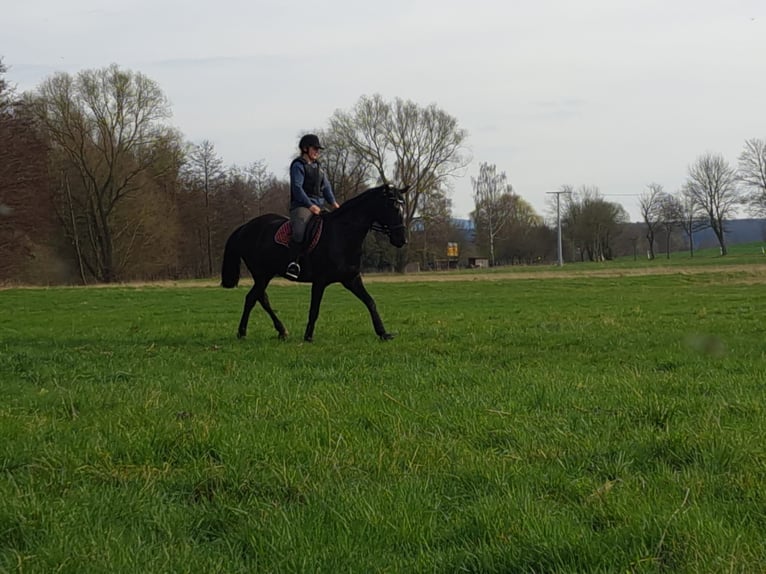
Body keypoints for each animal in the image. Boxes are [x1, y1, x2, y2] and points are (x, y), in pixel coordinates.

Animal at [222, 186, 412, 342]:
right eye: (393, 207)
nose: (401, 239)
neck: (342, 234)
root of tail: (245, 227)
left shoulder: (351, 279)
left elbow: (370, 302)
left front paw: (383, 333)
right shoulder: (320, 281)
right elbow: (314, 309)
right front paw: (308, 336)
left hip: (263, 275)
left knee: (260, 298)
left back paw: (280, 331)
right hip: (263, 274)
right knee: (252, 298)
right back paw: (243, 332)